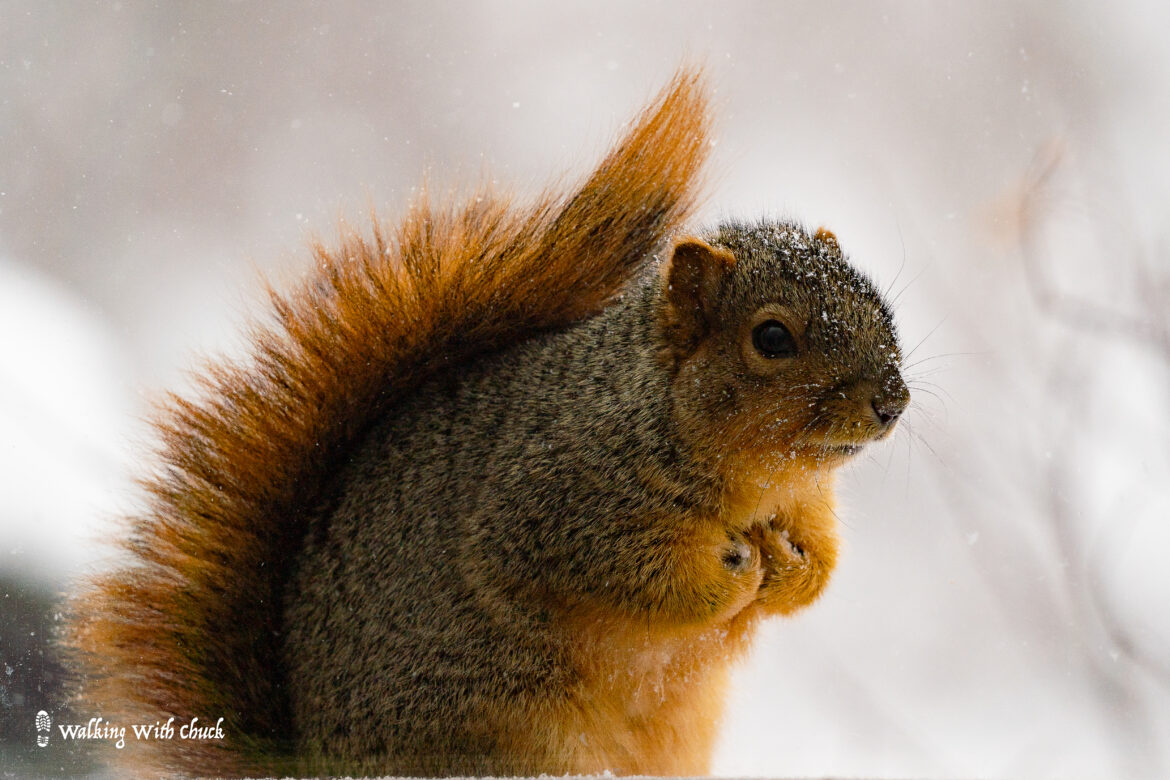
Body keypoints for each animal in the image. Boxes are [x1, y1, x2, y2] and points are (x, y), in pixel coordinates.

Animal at [65, 67, 909, 777]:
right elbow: (624, 575)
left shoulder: (808, 502)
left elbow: (820, 566)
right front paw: (732, 568)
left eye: (875, 298)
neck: (760, 474)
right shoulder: (551, 506)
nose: (892, 401)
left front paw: (792, 569)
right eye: (772, 338)